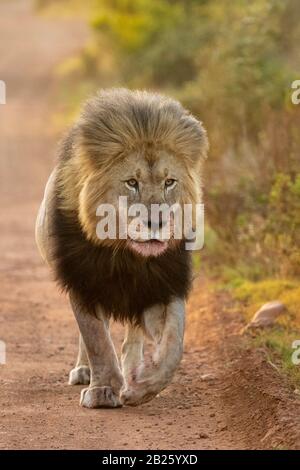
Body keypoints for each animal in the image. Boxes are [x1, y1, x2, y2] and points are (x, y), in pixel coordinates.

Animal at [35, 88, 207, 408]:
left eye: (169, 182)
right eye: (131, 182)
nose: (157, 222)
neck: (127, 255)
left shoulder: (163, 283)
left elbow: (174, 342)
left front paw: (143, 385)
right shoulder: (82, 281)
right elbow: (96, 339)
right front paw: (103, 390)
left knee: (134, 334)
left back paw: (132, 369)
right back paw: (85, 371)